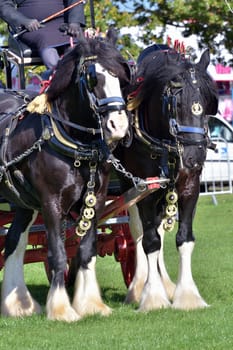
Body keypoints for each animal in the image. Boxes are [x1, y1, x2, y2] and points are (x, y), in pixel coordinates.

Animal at [0, 31, 130, 322]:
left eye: (122, 77)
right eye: (94, 78)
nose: (119, 126)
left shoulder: (96, 199)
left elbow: (86, 250)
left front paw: (91, 303)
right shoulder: (51, 202)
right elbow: (57, 253)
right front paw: (61, 309)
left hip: (21, 202)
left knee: (14, 242)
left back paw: (17, 303)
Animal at [114, 45, 219, 310]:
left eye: (206, 101)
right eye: (176, 102)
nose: (194, 156)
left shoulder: (190, 186)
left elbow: (184, 239)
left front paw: (187, 295)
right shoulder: (145, 190)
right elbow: (150, 241)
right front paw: (152, 297)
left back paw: (166, 284)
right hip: (130, 187)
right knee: (139, 231)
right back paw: (138, 287)